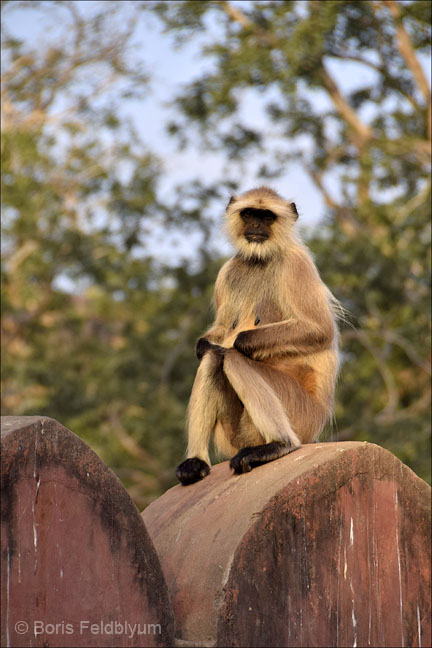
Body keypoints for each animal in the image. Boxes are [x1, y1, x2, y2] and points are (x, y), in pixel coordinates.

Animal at [177, 185, 340, 484]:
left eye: (266, 217)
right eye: (249, 214)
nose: (255, 226)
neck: (259, 260)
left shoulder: (296, 265)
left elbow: (320, 330)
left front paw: (240, 342)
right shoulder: (227, 271)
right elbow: (218, 332)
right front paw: (203, 344)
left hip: (301, 414)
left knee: (231, 358)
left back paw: (280, 444)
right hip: (234, 434)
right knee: (212, 359)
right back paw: (196, 462)